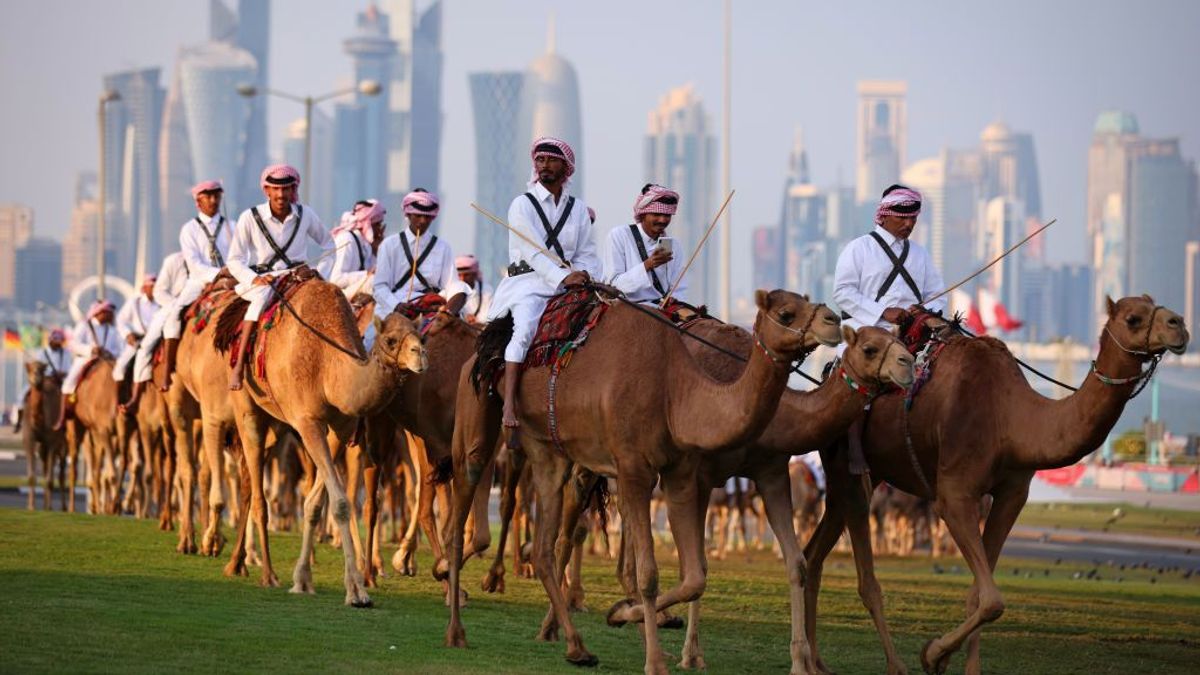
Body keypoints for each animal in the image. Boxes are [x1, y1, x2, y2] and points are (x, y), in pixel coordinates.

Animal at [22, 362, 68, 509]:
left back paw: (63, 507)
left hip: (64, 442)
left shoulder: (52, 440)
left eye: (42, 369)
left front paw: (49, 508)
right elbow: (32, 477)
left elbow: (50, 479)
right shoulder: (29, 439)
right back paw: (44, 505)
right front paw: (31, 506)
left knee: (61, 472)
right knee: (46, 465)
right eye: (29, 369)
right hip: (43, 447)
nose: (36, 378)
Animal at [446, 290, 840, 672]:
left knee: (546, 545)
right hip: (479, 409)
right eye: (786, 312)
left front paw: (625, 616)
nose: (833, 320)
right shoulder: (637, 467)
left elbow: (695, 576)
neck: (675, 390)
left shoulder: (687, 471)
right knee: (469, 487)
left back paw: (576, 646)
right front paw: (657, 660)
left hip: (547, 449)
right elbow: (649, 573)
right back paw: (458, 625)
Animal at [801, 295, 1185, 672]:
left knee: (814, 554)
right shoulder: (954, 495)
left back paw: (816, 661)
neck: (1010, 417)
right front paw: (931, 654)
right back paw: (887, 664)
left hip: (866, 475)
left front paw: (949, 658)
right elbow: (992, 600)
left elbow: (978, 595)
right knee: (865, 579)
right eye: (1133, 318)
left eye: (1156, 303)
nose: (1179, 325)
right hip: (848, 467)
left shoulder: (1012, 494)